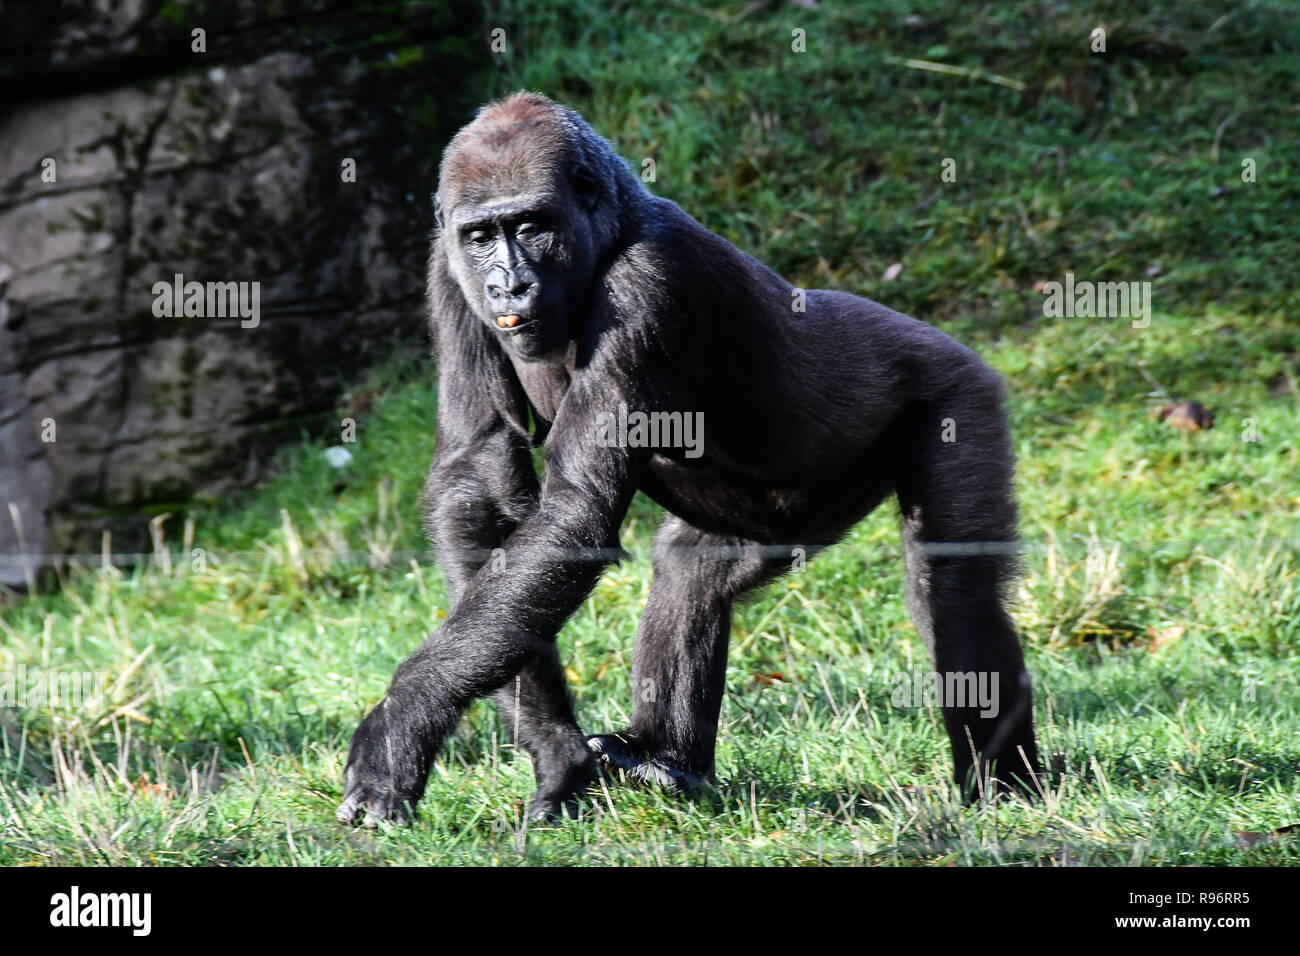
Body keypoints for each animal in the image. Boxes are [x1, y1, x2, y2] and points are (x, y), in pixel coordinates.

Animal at [338, 91, 1045, 832]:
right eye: (481, 237)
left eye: (532, 226)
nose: (508, 286)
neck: (611, 230)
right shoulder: (445, 271)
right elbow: (479, 481)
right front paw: (553, 748)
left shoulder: (648, 281)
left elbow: (571, 515)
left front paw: (401, 723)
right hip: (790, 519)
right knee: (691, 573)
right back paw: (667, 762)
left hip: (955, 389)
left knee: (955, 591)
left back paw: (1004, 788)